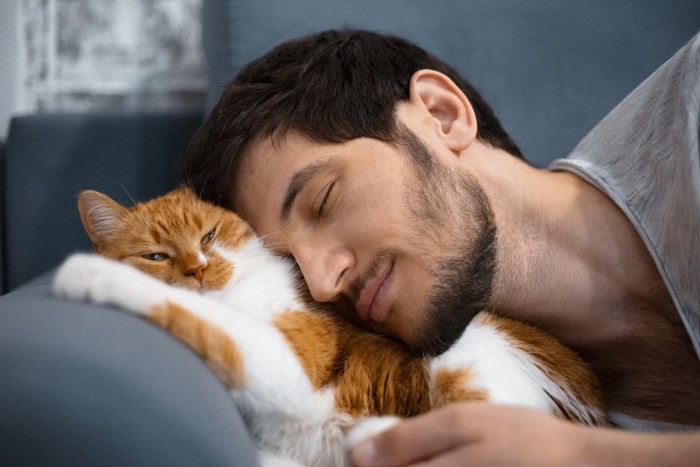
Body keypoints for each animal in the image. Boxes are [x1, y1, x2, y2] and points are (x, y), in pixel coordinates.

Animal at [52, 187, 604, 467]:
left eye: (208, 235)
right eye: (157, 255)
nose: (199, 270)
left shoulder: (294, 358)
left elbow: (208, 321)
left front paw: (88, 274)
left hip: (472, 356)